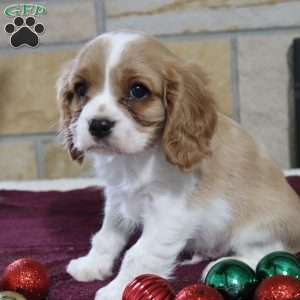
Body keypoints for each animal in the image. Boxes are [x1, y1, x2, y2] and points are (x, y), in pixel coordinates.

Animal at [56, 31, 300, 300]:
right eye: (80, 89)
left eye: (138, 91)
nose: (98, 125)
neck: (135, 158)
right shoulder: (118, 197)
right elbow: (107, 235)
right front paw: (92, 264)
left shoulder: (168, 211)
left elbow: (138, 254)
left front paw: (117, 290)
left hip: (258, 227)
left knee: (271, 251)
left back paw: (221, 264)